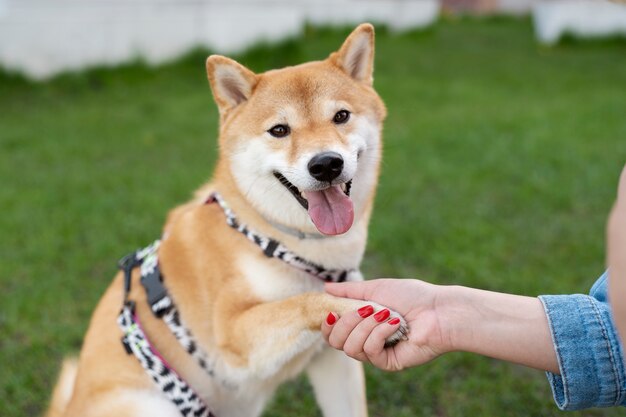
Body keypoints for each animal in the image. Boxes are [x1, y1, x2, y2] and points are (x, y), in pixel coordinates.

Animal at [44, 23, 404, 416]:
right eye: (279, 130)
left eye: (341, 116)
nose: (325, 164)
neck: (276, 239)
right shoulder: (233, 338)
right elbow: (305, 300)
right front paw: (364, 310)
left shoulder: (333, 359)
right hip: (151, 405)